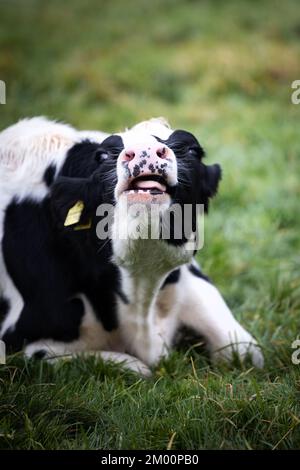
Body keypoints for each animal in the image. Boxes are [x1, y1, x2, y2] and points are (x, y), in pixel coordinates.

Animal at [0, 116, 262, 374]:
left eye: (192, 150)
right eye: (102, 156)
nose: (145, 149)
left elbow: (247, 352)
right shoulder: (27, 345)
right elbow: (134, 367)